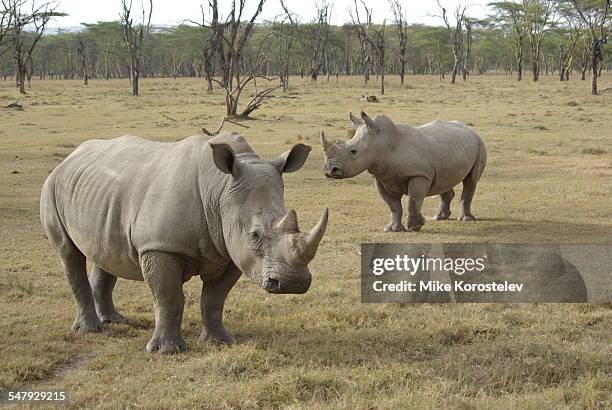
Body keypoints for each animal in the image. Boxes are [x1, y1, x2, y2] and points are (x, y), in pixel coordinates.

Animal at [40, 132, 328, 356]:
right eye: (254, 235)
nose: (293, 283)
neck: (220, 190)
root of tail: (69, 158)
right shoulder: (160, 246)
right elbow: (169, 297)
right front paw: (166, 351)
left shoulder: (230, 250)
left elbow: (214, 298)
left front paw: (220, 342)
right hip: (52, 186)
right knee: (69, 254)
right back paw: (91, 330)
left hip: (100, 195)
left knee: (106, 253)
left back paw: (114, 321)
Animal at [320, 112, 488, 232]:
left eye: (353, 151)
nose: (329, 170)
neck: (383, 143)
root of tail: (469, 128)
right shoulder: (381, 177)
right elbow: (393, 205)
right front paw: (392, 229)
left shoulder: (419, 174)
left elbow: (413, 201)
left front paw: (415, 226)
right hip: (451, 149)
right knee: (444, 180)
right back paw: (439, 217)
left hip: (480, 143)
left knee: (471, 180)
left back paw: (466, 219)